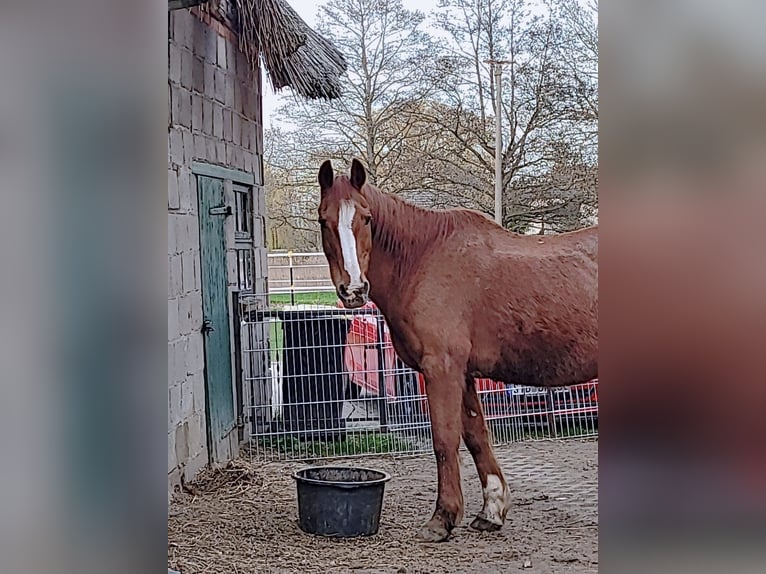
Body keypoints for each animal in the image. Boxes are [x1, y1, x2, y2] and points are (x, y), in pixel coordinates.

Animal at [316, 158, 598, 542]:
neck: (422, 258)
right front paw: (491, 511)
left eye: (367, 218)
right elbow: (477, 437)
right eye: (323, 220)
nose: (354, 290)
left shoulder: (442, 369)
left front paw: (443, 518)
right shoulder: (463, 375)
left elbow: (445, 440)